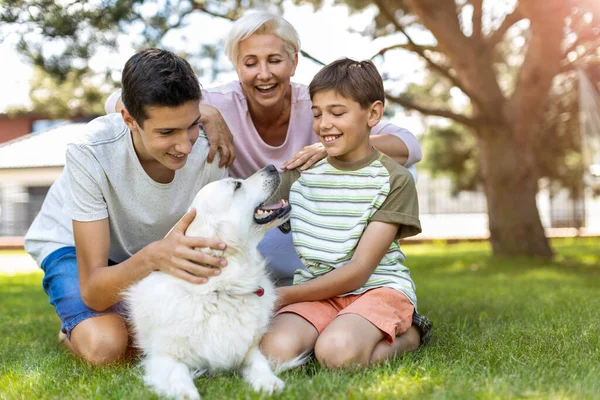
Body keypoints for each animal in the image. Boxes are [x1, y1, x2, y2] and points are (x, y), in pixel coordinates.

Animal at [126, 164, 292, 398]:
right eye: (237, 185)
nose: (271, 167)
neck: (220, 290)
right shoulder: (163, 356)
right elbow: (177, 374)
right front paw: (185, 393)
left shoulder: (248, 349)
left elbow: (259, 363)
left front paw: (268, 382)